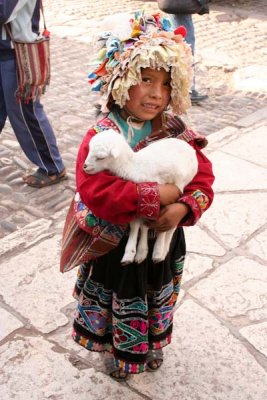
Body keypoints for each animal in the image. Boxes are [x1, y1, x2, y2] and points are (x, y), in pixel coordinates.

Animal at [84, 130, 199, 264]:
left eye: (100, 157)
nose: (85, 166)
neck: (133, 166)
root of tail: (190, 148)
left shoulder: (165, 194)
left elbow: (163, 224)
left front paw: (157, 252)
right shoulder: (143, 202)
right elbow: (137, 225)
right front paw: (132, 253)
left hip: (182, 182)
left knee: (173, 226)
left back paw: (162, 250)